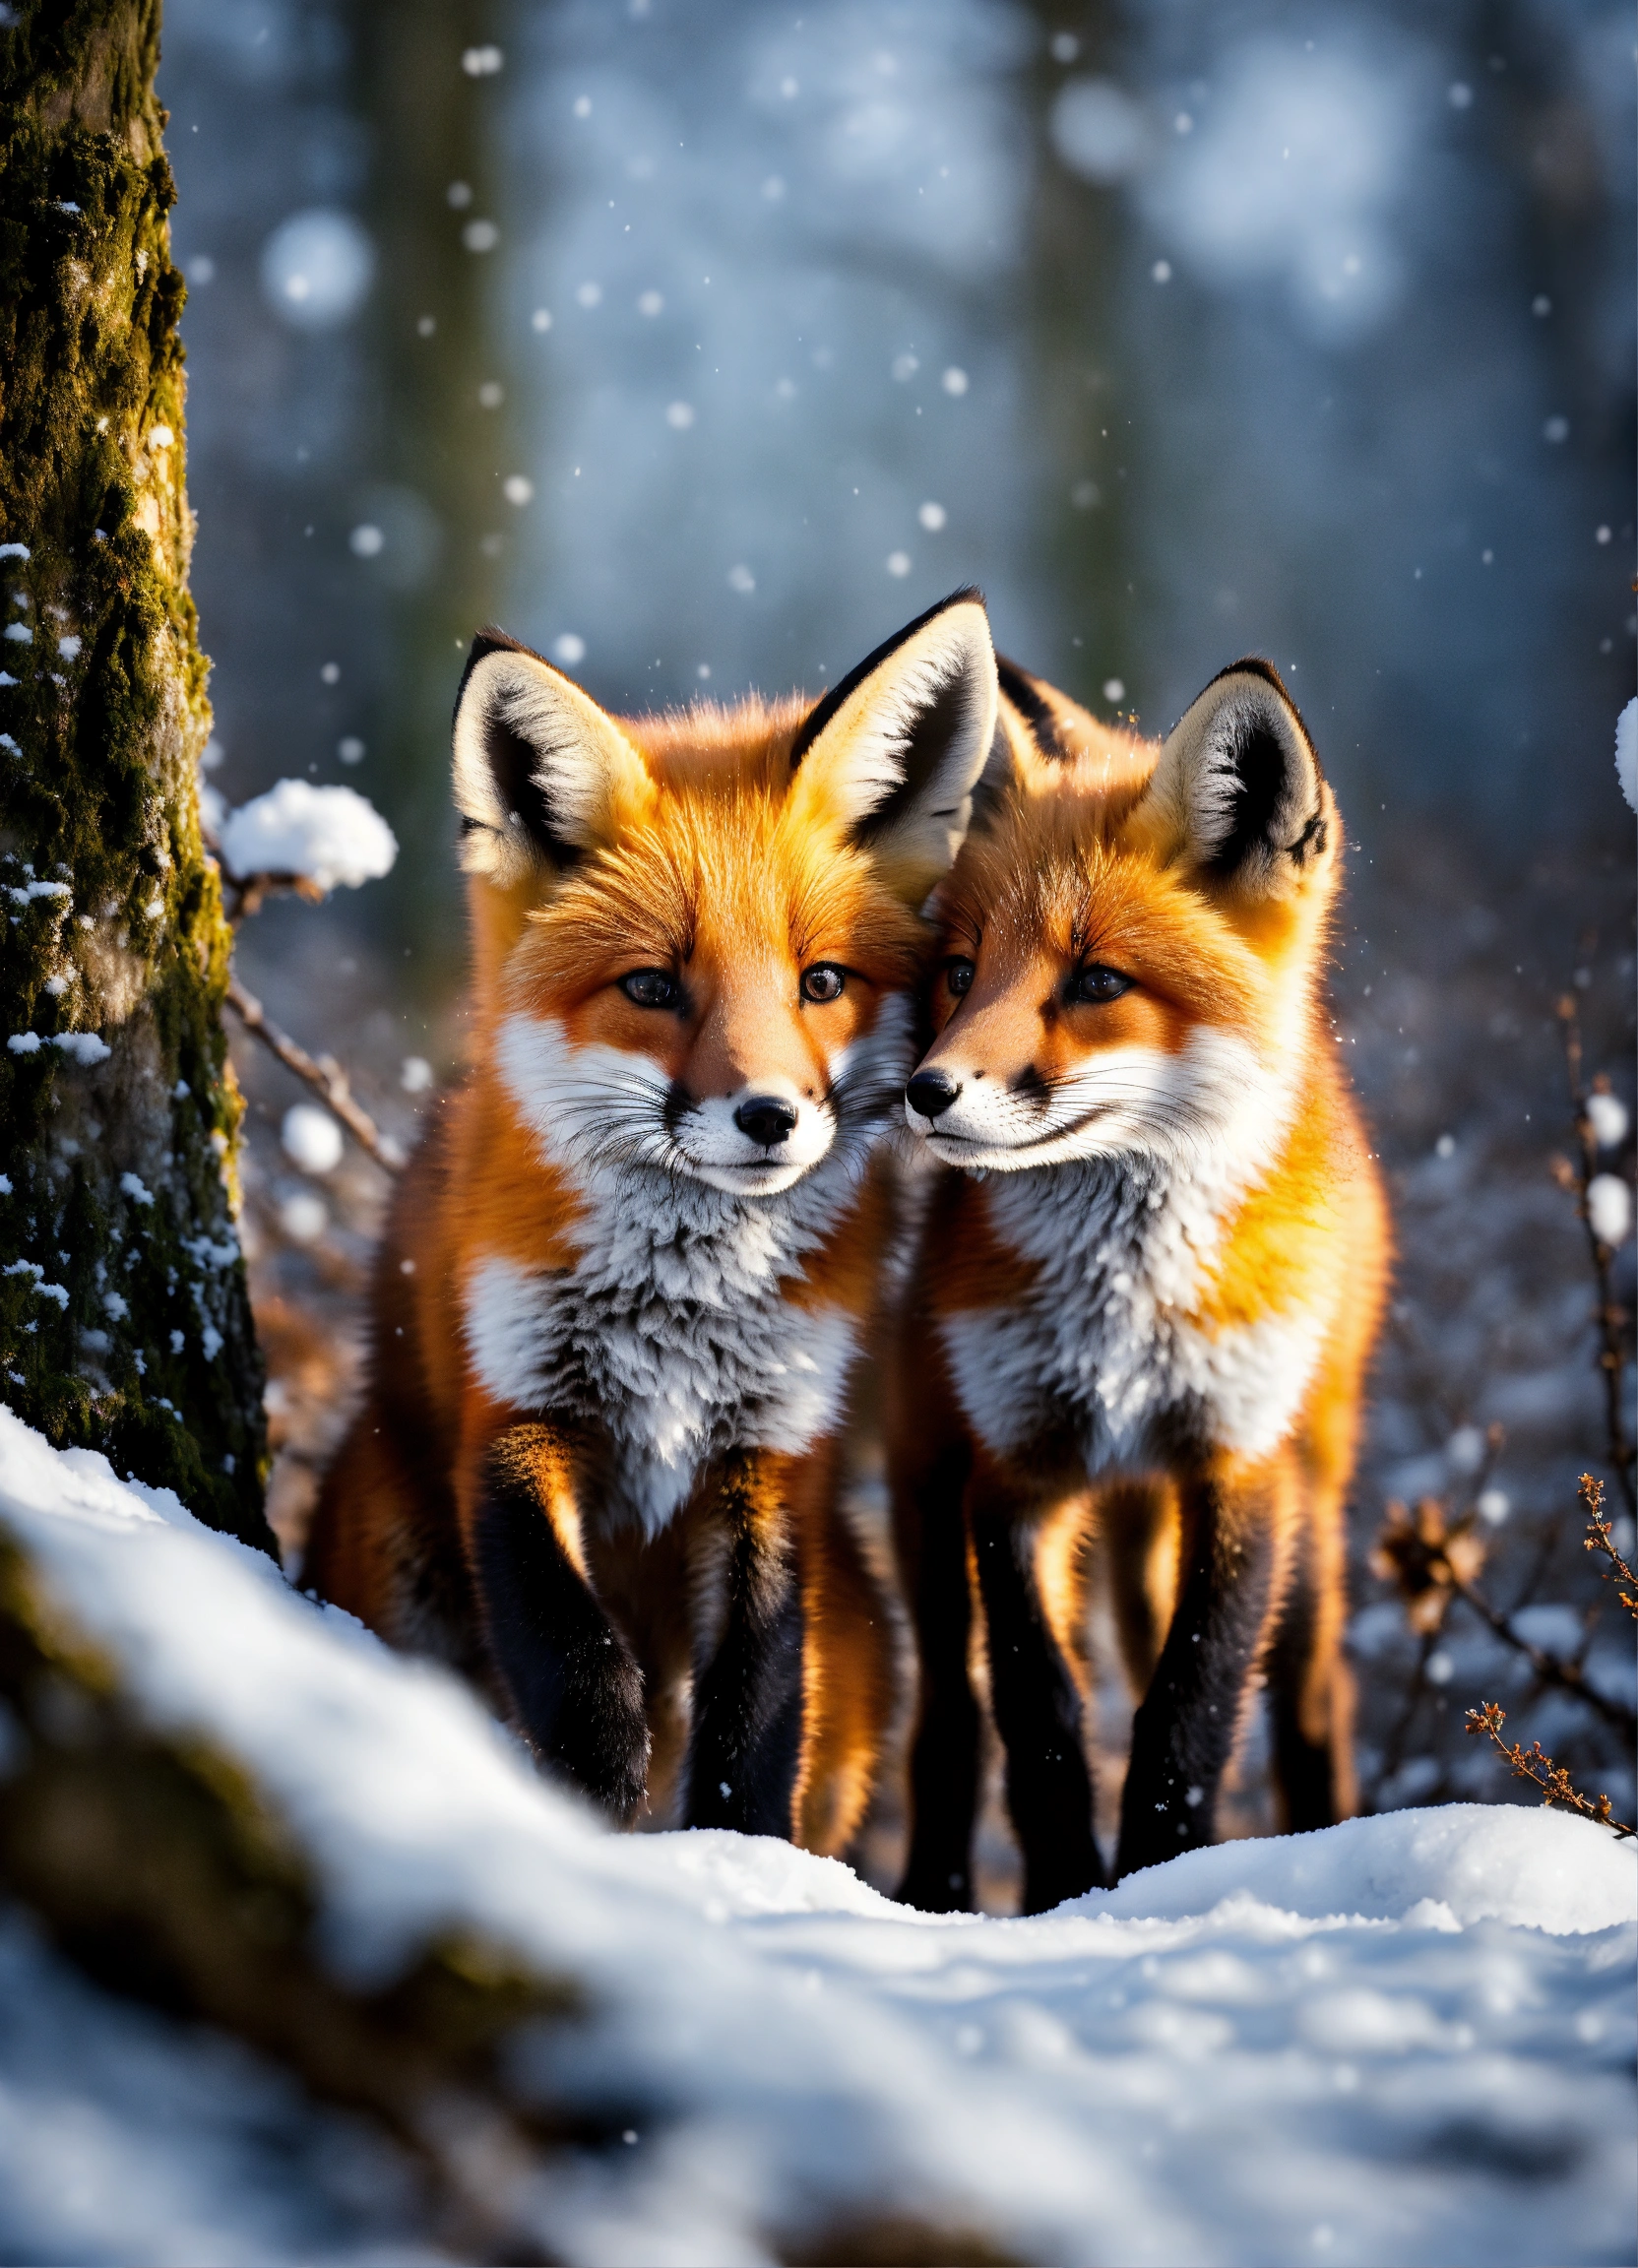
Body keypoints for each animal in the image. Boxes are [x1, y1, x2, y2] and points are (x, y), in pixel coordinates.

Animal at [304, 590, 1002, 1851]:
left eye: (820, 983)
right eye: (650, 989)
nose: (770, 1116)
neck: (683, 1306)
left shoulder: (770, 1461)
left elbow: (753, 1713)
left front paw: (732, 1857)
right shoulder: (513, 1418)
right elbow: (574, 1659)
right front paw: (596, 1816)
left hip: (858, 1638)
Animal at [887, 654, 1388, 1910]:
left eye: (1096, 980)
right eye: (960, 973)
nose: (925, 1092)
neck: (1122, 1311)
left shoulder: (1237, 1467)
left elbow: (1187, 1708)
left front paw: (1159, 1872)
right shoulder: (1009, 1474)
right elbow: (1039, 1714)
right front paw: (1068, 1891)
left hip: (1308, 1498)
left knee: (1311, 1696)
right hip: (925, 1492)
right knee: (947, 1723)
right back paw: (934, 1888)